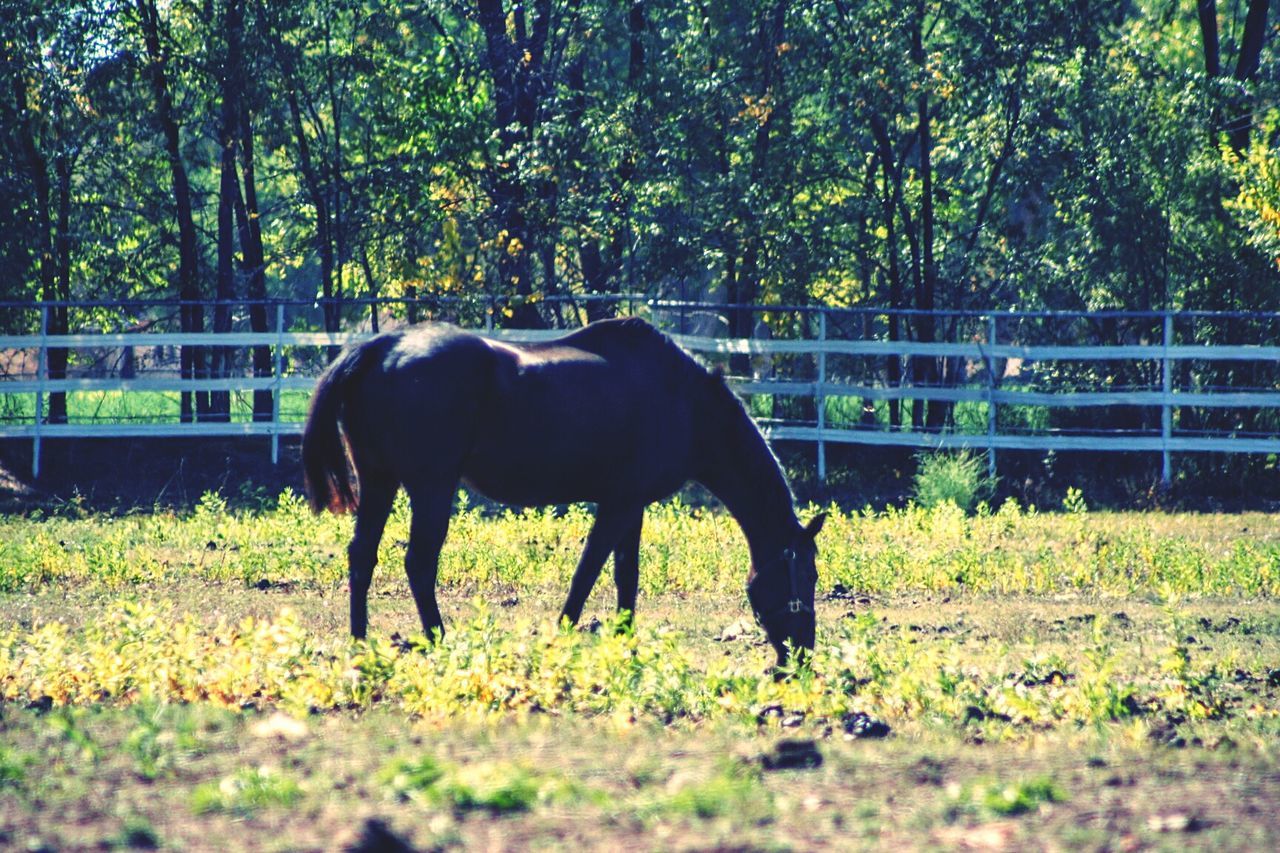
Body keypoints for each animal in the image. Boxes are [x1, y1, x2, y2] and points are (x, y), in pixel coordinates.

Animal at [300, 315, 824, 660]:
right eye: (809, 576)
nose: (801, 654)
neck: (685, 403)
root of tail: (382, 347)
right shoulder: (618, 504)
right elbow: (588, 571)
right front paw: (566, 631)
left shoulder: (632, 506)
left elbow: (625, 575)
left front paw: (624, 638)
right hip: (431, 488)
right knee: (418, 563)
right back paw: (438, 638)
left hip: (380, 481)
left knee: (362, 555)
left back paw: (360, 640)